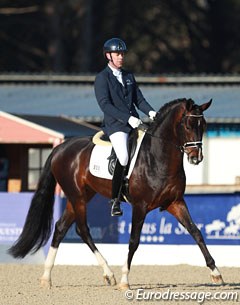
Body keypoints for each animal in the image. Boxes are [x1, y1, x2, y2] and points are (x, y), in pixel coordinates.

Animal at [8, 97, 224, 288]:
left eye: (203, 126)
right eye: (187, 125)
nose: (196, 158)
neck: (158, 157)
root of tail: (61, 147)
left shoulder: (176, 202)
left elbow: (196, 232)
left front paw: (216, 273)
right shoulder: (140, 206)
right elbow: (134, 241)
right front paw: (124, 280)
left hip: (80, 196)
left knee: (61, 228)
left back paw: (47, 278)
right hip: (77, 197)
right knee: (82, 229)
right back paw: (108, 274)